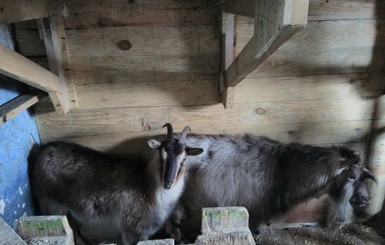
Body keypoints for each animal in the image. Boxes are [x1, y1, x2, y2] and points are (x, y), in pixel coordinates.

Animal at [29, 124, 204, 245]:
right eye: (161, 155)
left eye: (184, 159)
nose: (168, 183)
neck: (148, 188)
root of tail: (42, 150)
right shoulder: (131, 230)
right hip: (51, 206)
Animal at [170, 134, 372, 241]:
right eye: (351, 176)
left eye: (364, 175)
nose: (364, 199)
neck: (284, 168)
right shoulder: (256, 210)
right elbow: (255, 233)